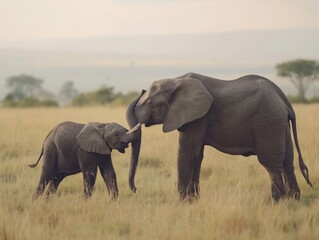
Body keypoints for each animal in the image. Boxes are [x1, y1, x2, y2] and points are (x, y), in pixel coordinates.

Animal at [126, 71, 314, 201]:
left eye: (150, 102)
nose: (136, 190)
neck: (175, 80)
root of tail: (284, 100)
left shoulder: (196, 117)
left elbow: (187, 153)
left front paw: (183, 202)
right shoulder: (197, 117)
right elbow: (197, 156)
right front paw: (193, 201)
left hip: (268, 122)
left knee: (271, 163)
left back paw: (276, 201)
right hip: (280, 123)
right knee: (287, 162)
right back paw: (293, 200)